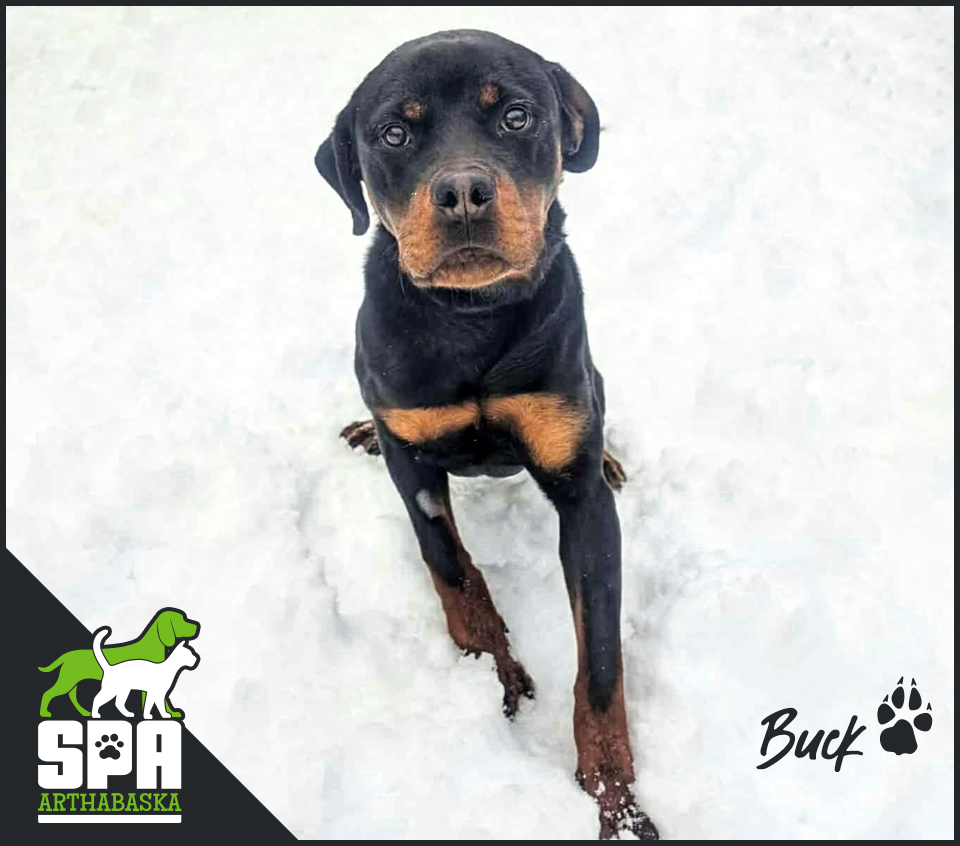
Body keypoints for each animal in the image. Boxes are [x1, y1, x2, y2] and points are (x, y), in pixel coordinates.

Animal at [39, 608, 200, 719]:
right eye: (182, 619)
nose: (198, 626)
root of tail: (67, 655)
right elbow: (161, 700)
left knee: (74, 696)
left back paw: (86, 712)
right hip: (70, 682)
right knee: (49, 693)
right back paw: (46, 713)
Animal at [317, 30, 657, 840]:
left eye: (515, 116)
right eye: (394, 133)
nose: (463, 192)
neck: (469, 320)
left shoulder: (581, 503)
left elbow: (602, 664)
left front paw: (616, 799)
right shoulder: (413, 463)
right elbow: (452, 570)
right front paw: (491, 672)